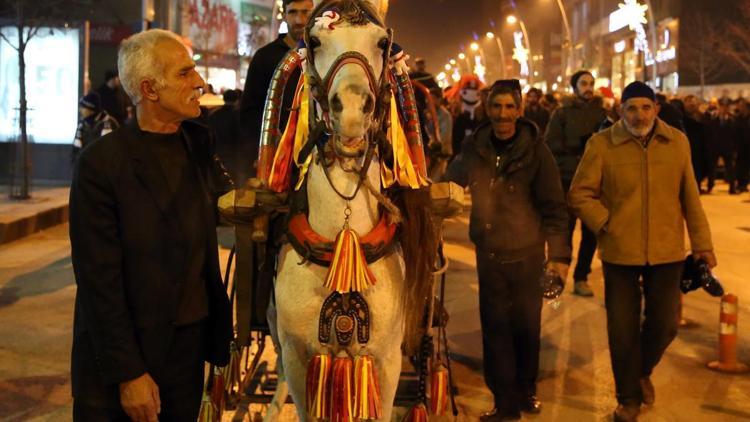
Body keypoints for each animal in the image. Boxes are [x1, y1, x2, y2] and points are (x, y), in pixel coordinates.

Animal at [268, 1, 438, 420]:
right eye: (314, 41)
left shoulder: (385, 361)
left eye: (380, 42)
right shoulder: (298, 358)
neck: (345, 244)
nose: (351, 110)